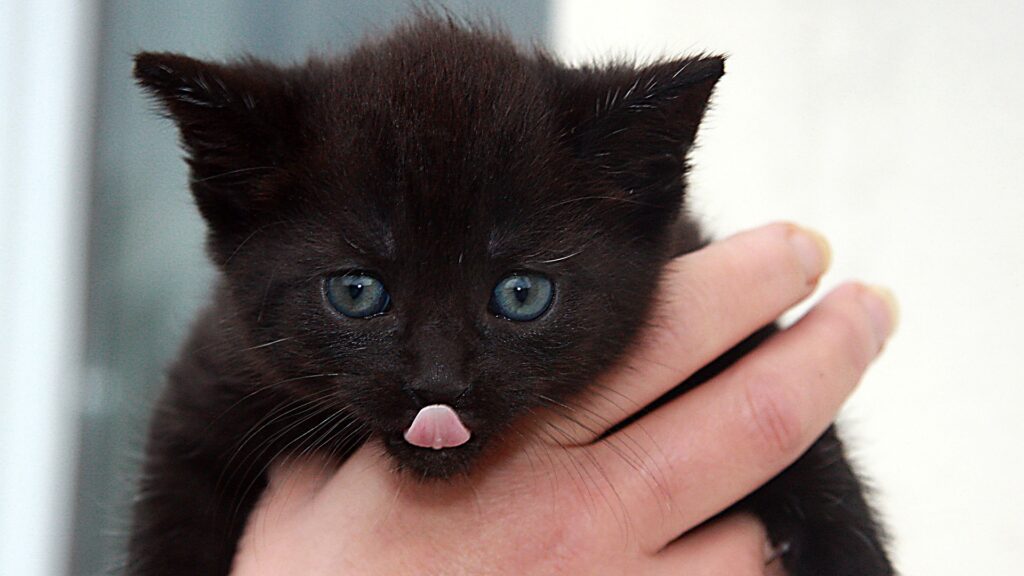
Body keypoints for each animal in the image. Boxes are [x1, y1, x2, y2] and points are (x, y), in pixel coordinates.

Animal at [128, 14, 892, 573]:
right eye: (356, 290)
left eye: (522, 293)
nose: (438, 384)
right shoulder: (209, 388)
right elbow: (169, 522)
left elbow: (814, 456)